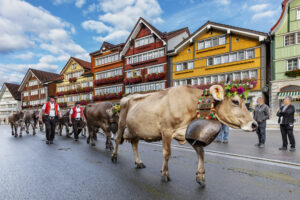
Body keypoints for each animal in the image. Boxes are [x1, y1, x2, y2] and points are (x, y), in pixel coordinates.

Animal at [111, 85, 256, 186]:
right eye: (235, 101)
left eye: (245, 101)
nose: (254, 124)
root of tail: (126, 97)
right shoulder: (166, 130)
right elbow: (167, 153)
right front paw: (165, 174)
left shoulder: (189, 133)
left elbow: (201, 152)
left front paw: (200, 176)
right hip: (122, 122)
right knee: (117, 139)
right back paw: (114, 156)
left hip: (135, 129)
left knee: (134, 143)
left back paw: (139, 162)